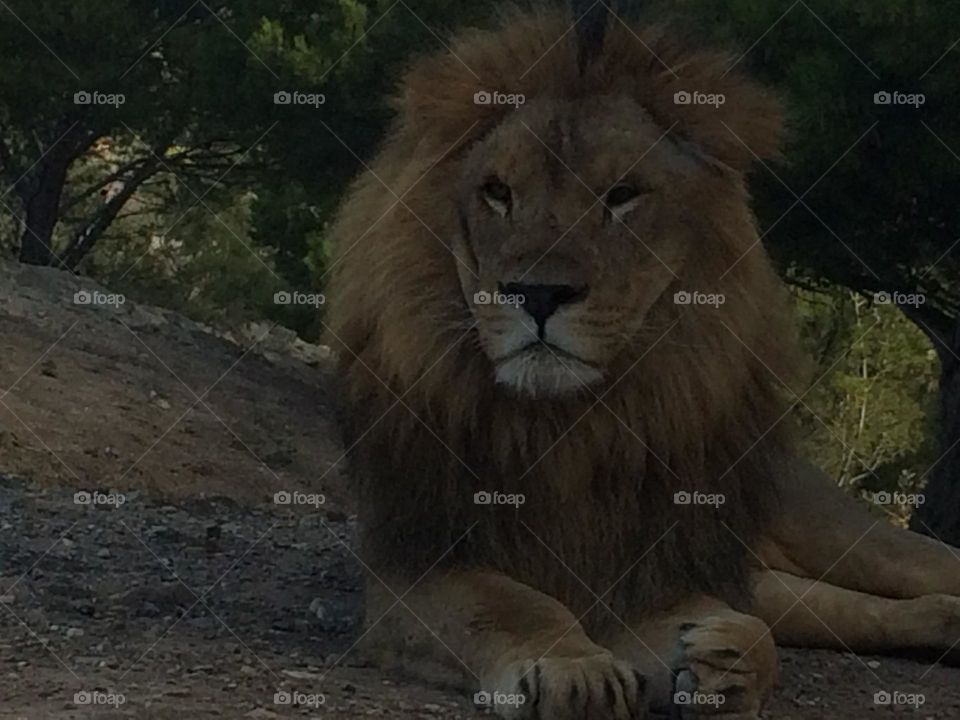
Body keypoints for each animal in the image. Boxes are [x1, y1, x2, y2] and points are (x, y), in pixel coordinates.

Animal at [324, 5, 960, 718]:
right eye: (497, 192)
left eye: (622, 195)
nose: (537, 294)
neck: (569, 427)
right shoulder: (415, 567)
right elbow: (514, 605)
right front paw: (574, 668)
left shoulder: (653, 576)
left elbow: (752, 635)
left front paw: (723, 662)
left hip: (841, 538)